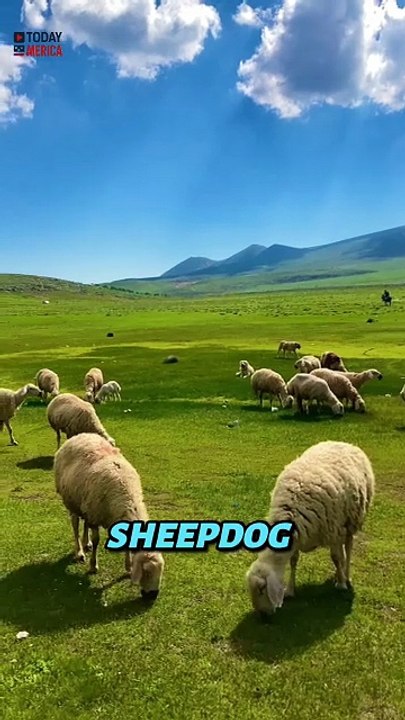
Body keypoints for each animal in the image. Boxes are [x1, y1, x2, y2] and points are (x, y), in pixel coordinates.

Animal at [54, 433, 165, 598]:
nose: (152, 596)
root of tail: (80, 435)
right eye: (146, 572)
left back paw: (86, 543)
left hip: (86, 503)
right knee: (75, 524)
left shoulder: (96, 513)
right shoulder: (95, 515)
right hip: (72, 501)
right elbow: (97, 540)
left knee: (84, 523)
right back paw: (80, 552)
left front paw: (128, 567)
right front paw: (93, 566)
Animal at [246, 440, 375, 616]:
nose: (263, 615)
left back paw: (345, 576)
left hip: (351, 519)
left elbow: (335, 557)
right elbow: (294, 561)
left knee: (348, 548)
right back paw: (338, 574)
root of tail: (345, 443)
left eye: (261, 590)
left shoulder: (332, 530)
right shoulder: (298, 537)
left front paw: (341, 584)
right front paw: (290, 590)